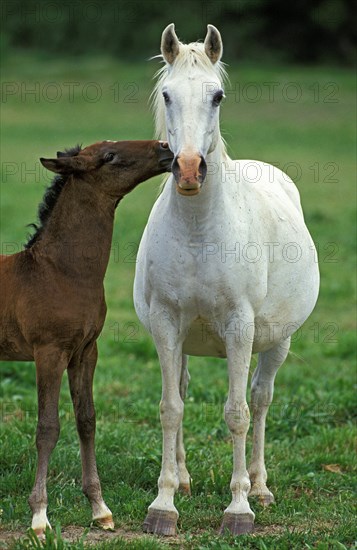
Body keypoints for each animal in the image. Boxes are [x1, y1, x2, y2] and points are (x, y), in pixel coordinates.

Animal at [0, 139, 172, 540]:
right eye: (108, 156)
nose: (166, 148)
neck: (62, 273)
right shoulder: (49, 352)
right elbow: (48, 428)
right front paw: (39, 517)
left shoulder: (85, 352)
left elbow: (87, 420)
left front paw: (100, 509)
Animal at [133, 23, 318, 536]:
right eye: (167, 94)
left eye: (217, 95)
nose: (189, 169)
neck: (200, 229)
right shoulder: (166, 323)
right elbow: (170, 408)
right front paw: (164, 503)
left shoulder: (239, 328)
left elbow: (237, 413)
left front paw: (239, 509)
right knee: (181, 391)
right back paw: (185, 479)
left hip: (275, 343)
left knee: (260, 400)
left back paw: (260, 487)